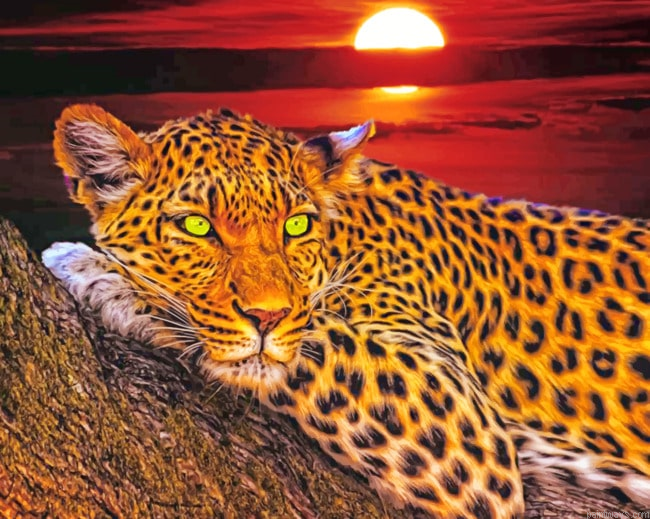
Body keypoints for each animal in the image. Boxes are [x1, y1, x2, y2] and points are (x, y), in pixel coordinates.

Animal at [42, 103, 650, 517]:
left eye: (295, 225)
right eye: (197, 226)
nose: (266, 318)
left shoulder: (465, 421)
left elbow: (318, 338)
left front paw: (100, 273)